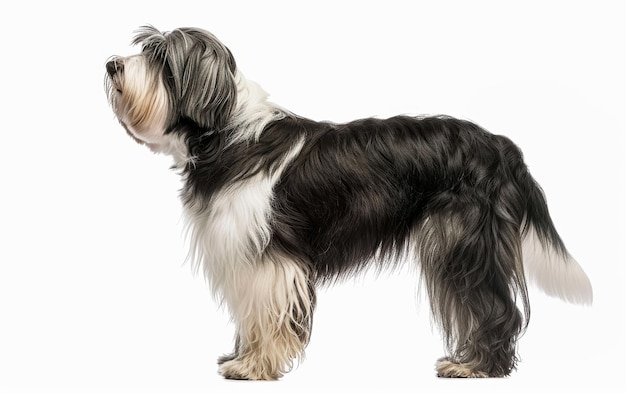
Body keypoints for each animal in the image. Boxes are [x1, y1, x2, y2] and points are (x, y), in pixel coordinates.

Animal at [103, 25, 588, 380]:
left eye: (161, 57)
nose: (110, 65)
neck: (227, 134)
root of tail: (502, 146)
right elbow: (254, 316)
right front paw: (244, 359)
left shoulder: (269, 258)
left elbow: (266, 316)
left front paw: (254, 366)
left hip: (462, 243)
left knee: (497, 309)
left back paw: (476, 368)